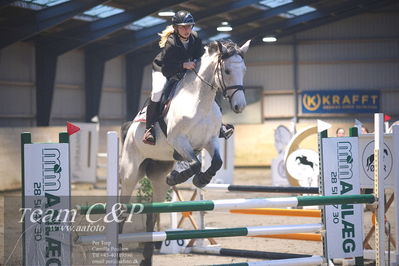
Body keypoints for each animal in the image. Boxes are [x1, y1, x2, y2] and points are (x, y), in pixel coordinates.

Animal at [118, 39, 250, 266]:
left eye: (244, 70)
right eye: (227, 70)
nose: (239, 106)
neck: (199, 101)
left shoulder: (210, 141)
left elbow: (216, 162)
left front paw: (201, 179)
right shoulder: (179, 142)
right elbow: (195, 163)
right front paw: (181, 177)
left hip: (158, 178)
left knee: (153, 213)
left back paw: (147, 257)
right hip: (130, 172)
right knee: (121, 210)